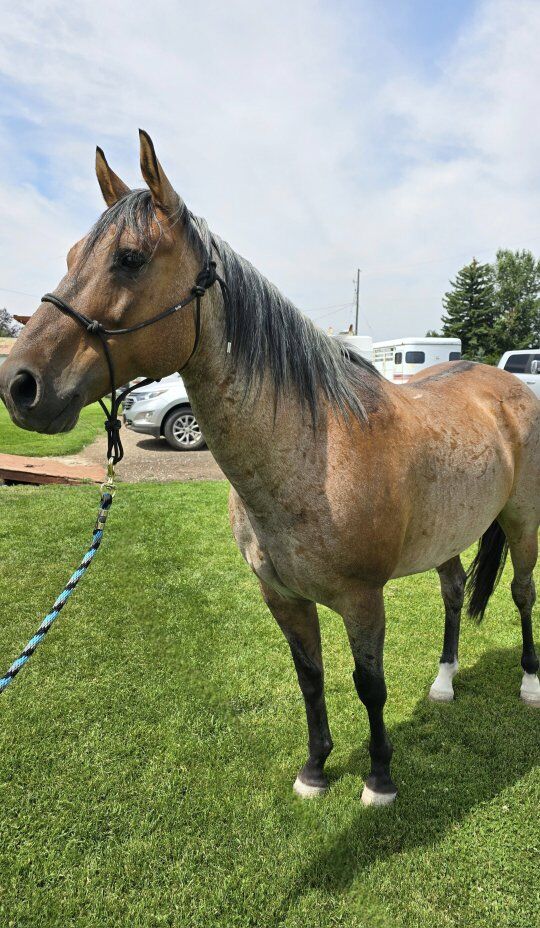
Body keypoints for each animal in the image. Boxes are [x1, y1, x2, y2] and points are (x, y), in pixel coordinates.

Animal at [1, 131, 538, 806]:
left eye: (129, 258)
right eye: (73, 253)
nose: (19, 384)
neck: (316, 453)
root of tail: (505, 384)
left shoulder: (363, 601)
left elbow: (370, 685)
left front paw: (380, 779)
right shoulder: (281, 597)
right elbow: (310, 677)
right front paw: (315, 769)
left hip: (522, 522)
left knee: (522, 592)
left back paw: (529, 685)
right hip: (449, 532)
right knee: (453, 589)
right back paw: (443, 681)